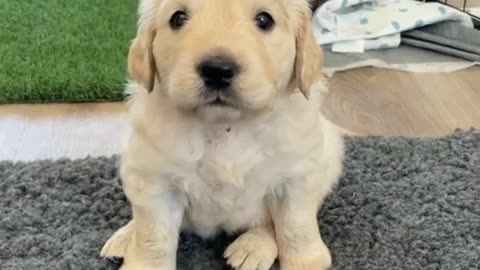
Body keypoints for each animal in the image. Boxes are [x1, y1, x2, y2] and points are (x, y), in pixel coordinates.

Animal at [101, 0, 344, 270]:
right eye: (178, 18)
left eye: (264, 20)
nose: (217, 70)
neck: (226, 127)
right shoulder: (154, 180)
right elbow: (153, 236)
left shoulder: (298, 175)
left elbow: (295, 226)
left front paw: (306, 262)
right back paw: (125, 236)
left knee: (268, 224)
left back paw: (252, 247)